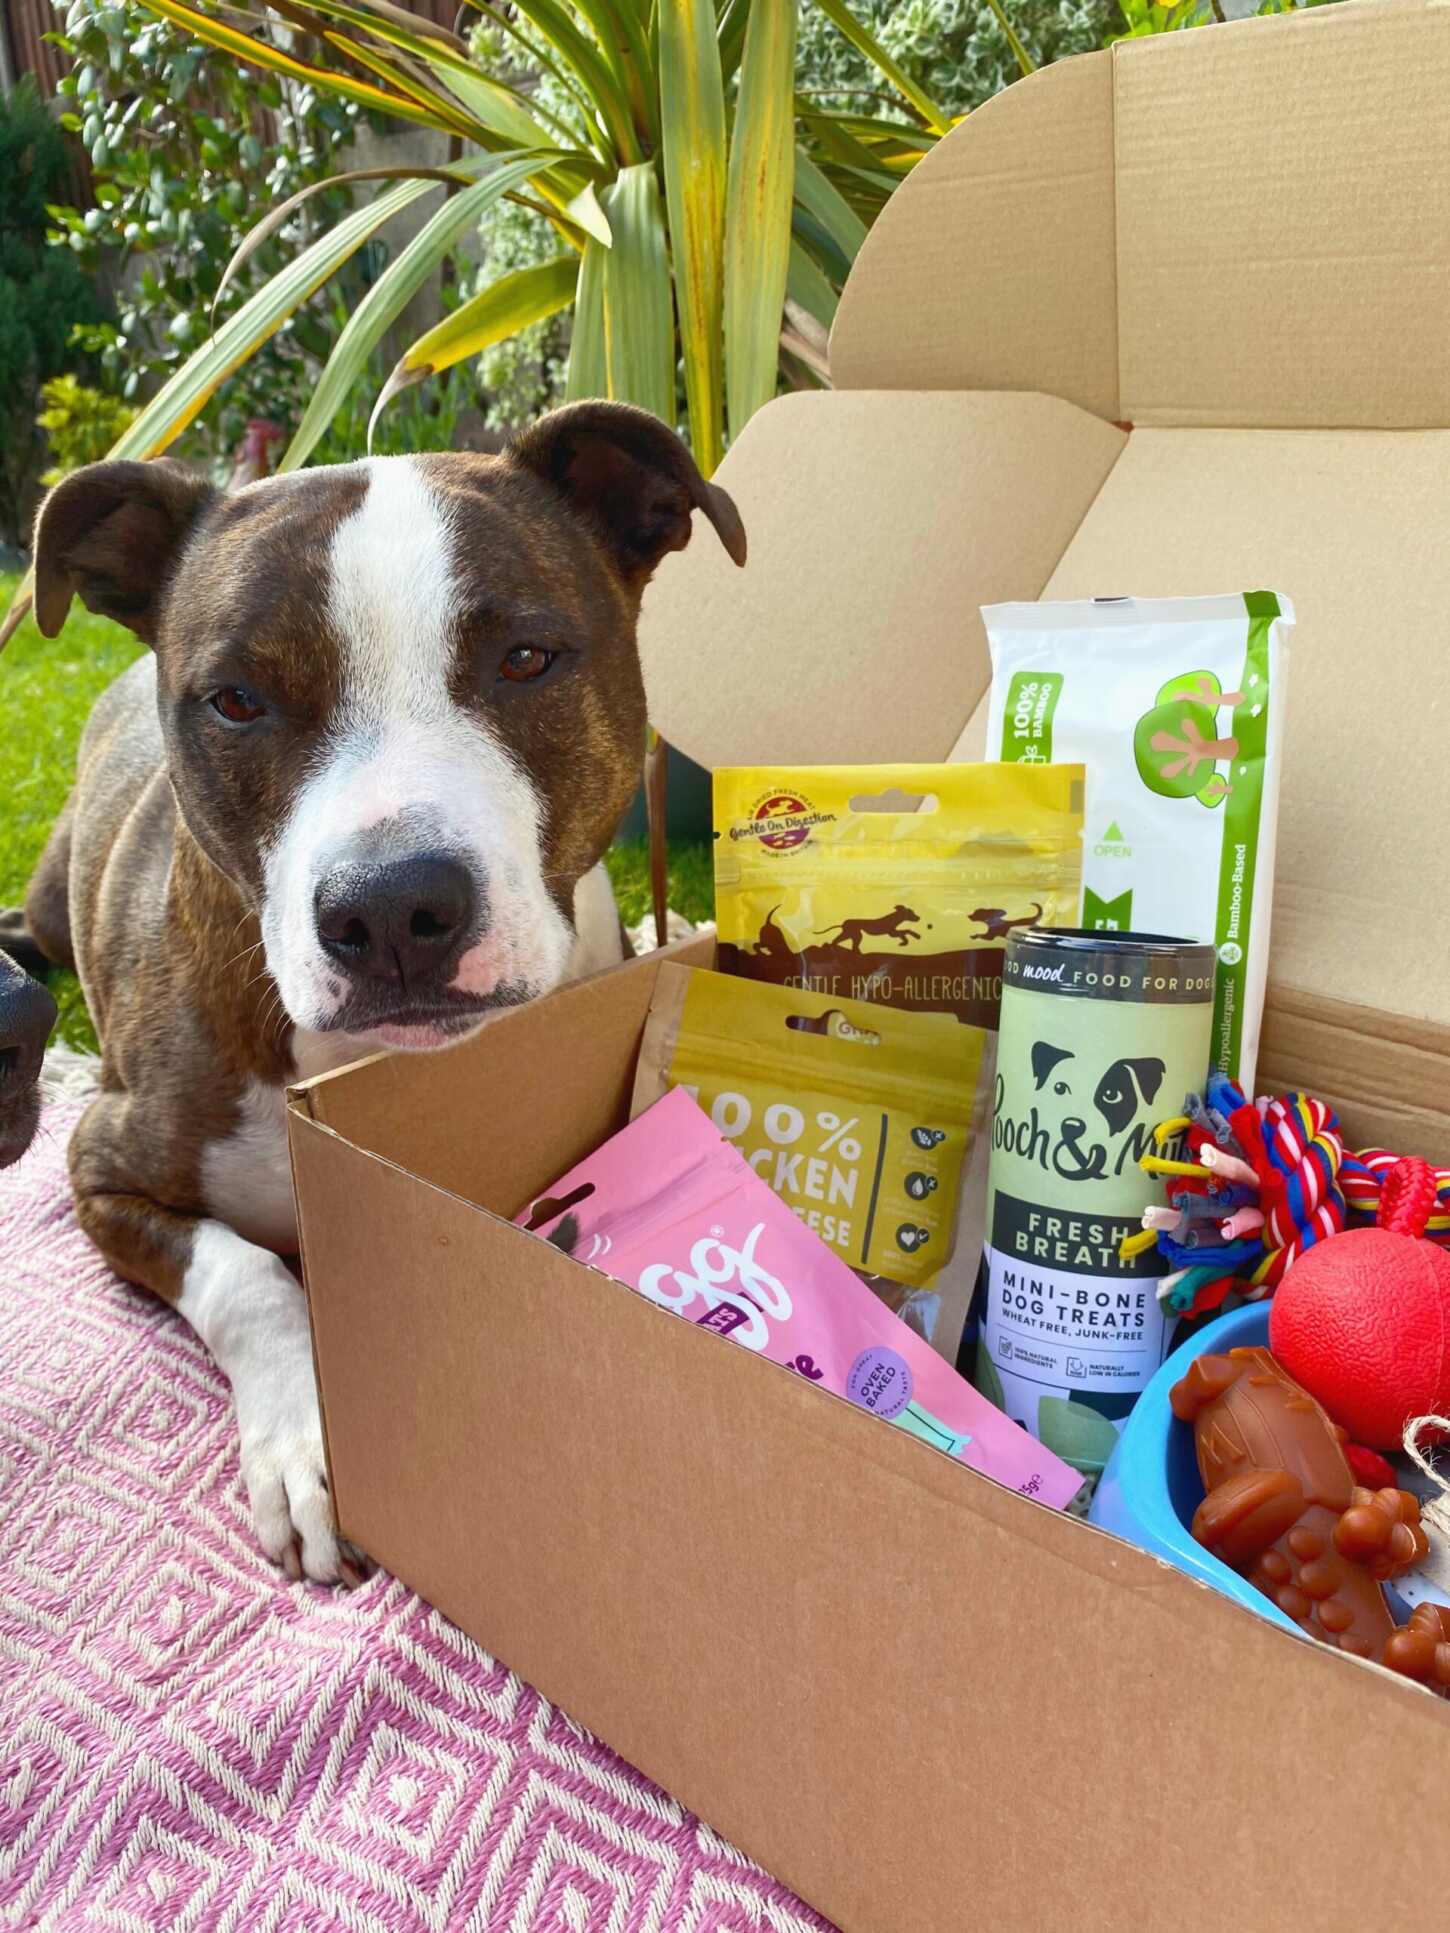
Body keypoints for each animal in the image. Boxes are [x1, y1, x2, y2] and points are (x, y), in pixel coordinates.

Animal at [20, 401, 745, 1582]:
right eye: (236, 700)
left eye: (525, 658)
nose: (393, 907)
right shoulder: (101, 1163)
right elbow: (249, 1275)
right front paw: (309, 1444)